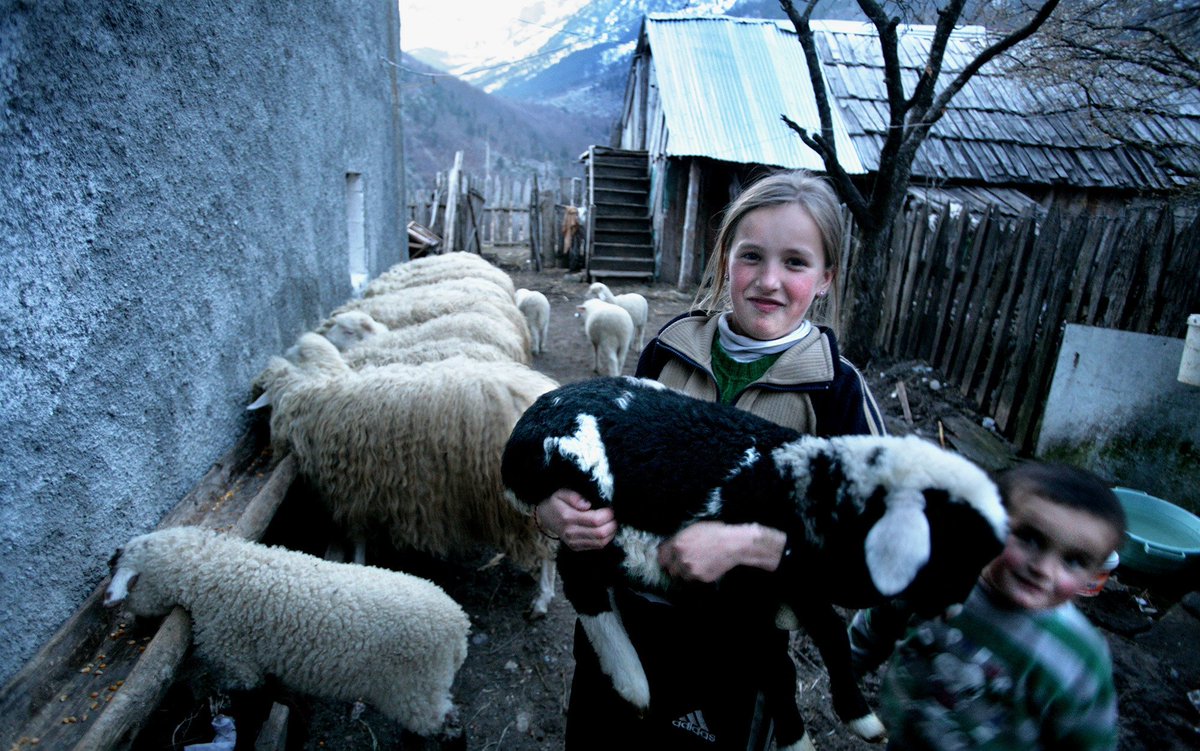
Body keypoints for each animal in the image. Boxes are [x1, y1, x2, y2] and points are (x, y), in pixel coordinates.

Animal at [103, 526, 470, 739]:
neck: (212, 568)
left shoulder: (234, 657)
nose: (111, 556)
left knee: (442, 725)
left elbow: (246, 694)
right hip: (426, 687)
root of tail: (459, 630)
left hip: (413, 689)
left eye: (129, 579)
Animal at [253, 333, 562, 615]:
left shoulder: (353, 493)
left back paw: (542, 599)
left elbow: (358, 538)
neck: (315, 390)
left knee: (547, 547)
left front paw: (359, 565)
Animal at [500, 376, 1007, 751]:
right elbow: (778, 665)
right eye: (951, 550)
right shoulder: (743, 590)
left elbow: (832, 635)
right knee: (583, 580)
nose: (954, 610)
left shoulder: (794, 581)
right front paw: (799, 741)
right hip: (588, 502)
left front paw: (861, 718)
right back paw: (632, 683)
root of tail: (523, 431)